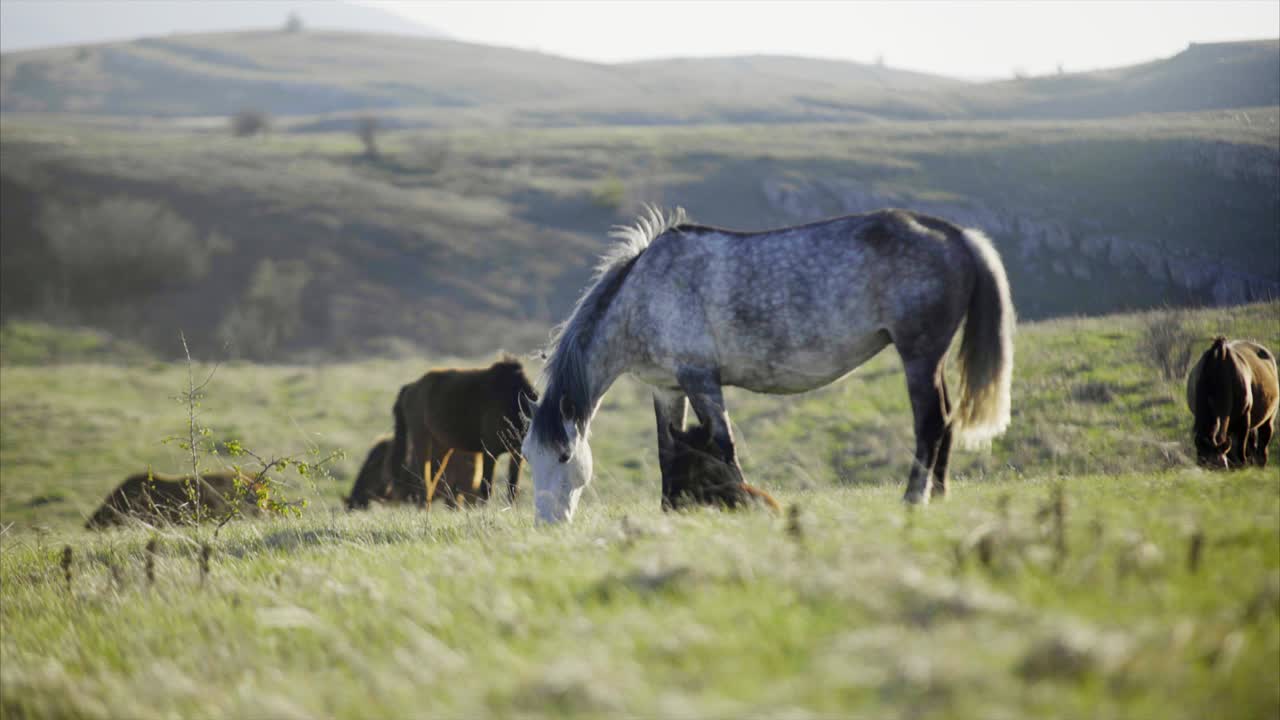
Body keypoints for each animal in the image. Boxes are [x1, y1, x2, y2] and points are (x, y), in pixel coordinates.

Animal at [388, 356, 538, 507]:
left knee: (431, 477)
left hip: (441, 447)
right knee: (422, 477)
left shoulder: (517, 453)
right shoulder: (490, 451)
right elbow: (486, 488)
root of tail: (410, 387)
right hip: (422, 440)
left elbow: (512, 486)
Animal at [522, 207, 1015, 523]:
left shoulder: (701, 379)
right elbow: (667, 449)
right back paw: (939, 496)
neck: (643, 293)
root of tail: (956, 235)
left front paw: (746, 504)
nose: (548, 524)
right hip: (930, 358)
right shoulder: (667, 387)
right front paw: (672, 511)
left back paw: (914, 499)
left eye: (565, 455)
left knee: (930, 422)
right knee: (945, 420)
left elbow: (723, 445)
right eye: (528, 457)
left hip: (918, 354)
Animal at [1186, 337, 1278, 468]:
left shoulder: (1243, 417)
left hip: (1268, 417)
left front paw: (1241, 464)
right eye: (1202, 464)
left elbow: (1240, 445)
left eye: (1221, 466)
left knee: (1262, 444)